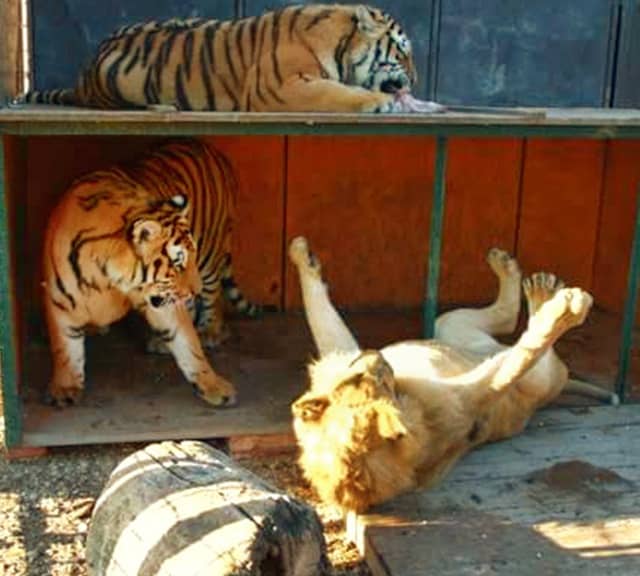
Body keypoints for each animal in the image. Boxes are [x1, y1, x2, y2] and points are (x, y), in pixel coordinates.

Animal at [23, 3, 444, 113]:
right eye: (402, 53)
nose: (416, 80)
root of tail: (81, 79)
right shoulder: (282, 88)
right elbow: (336, 93)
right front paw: (381, 102)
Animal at [41, 139, 258, 408]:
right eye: (178, 262)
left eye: (187, 257)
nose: (193, 289)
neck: (106, 277)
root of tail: (212, 150)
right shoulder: (59, 301)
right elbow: (64, 349)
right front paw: (64, 388)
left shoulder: (163, 299)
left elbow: (189, 344)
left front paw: (215, 386)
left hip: (211, 252)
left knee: (213, 295)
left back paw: (209, 331)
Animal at [288, 238, 616, 512]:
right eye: (377, 381)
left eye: (354, 380)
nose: (375, 355)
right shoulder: (469, 396)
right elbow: (519, 358)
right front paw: (566, 312)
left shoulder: (340, 352)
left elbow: (322, 318)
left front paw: (302, 256)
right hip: (529, 373)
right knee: (519, 335)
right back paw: (544, 294)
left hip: (447, 326)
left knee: (503, 320)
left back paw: (520, 274)